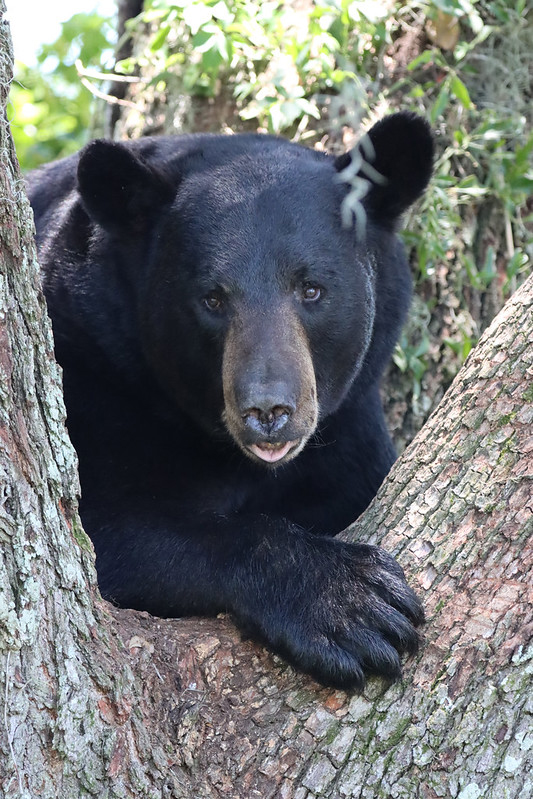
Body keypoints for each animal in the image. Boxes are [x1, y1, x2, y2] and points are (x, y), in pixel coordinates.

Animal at [28, 111, 432, 688]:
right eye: (212, 298)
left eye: (312, 289)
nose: (268, 411)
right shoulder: (94, 383)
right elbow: (111, 534)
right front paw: (351, 602)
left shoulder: (349, 427)